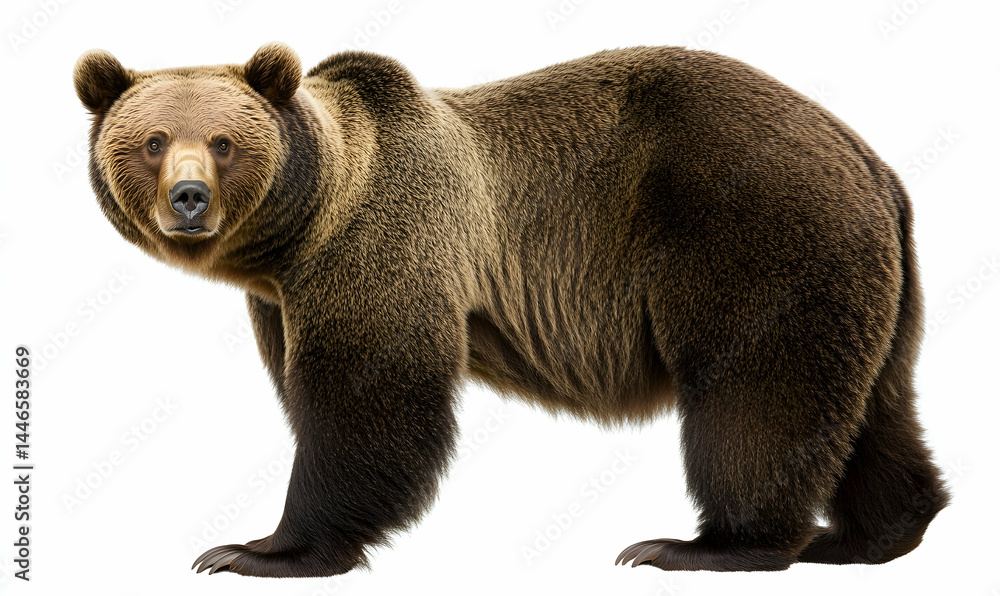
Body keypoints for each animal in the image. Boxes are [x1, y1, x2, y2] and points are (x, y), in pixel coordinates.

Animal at [73, 43, 948, 577]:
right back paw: (867, 534)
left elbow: (368, 400)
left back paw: (704, 546)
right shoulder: (283, 300)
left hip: (754, 235)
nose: (189, 198)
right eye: (152, 140)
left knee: (755, 399)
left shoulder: (384, 244)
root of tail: (872, 163)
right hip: (870, 286)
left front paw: (259, 549)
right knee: (877, 405)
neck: (300, 233)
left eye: (223, 142)